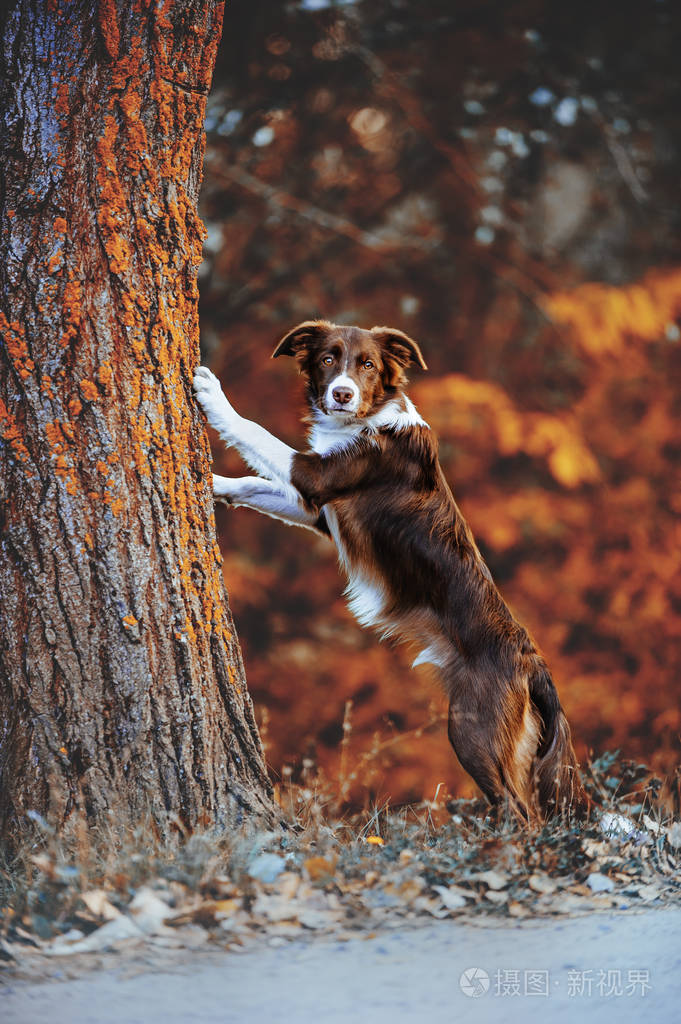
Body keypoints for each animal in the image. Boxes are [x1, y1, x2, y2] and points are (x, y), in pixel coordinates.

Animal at [192, 321, 585, 823]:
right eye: (327, 359)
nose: (341, 394)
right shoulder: (317, 510)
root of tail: (532, 662)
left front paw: (212, 394)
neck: (364, 420)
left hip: (474, 730)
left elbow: (257, 432)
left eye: (368, 365)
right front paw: (213, 484)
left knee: (520, 814)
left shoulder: (316, 476)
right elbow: (252, 483)